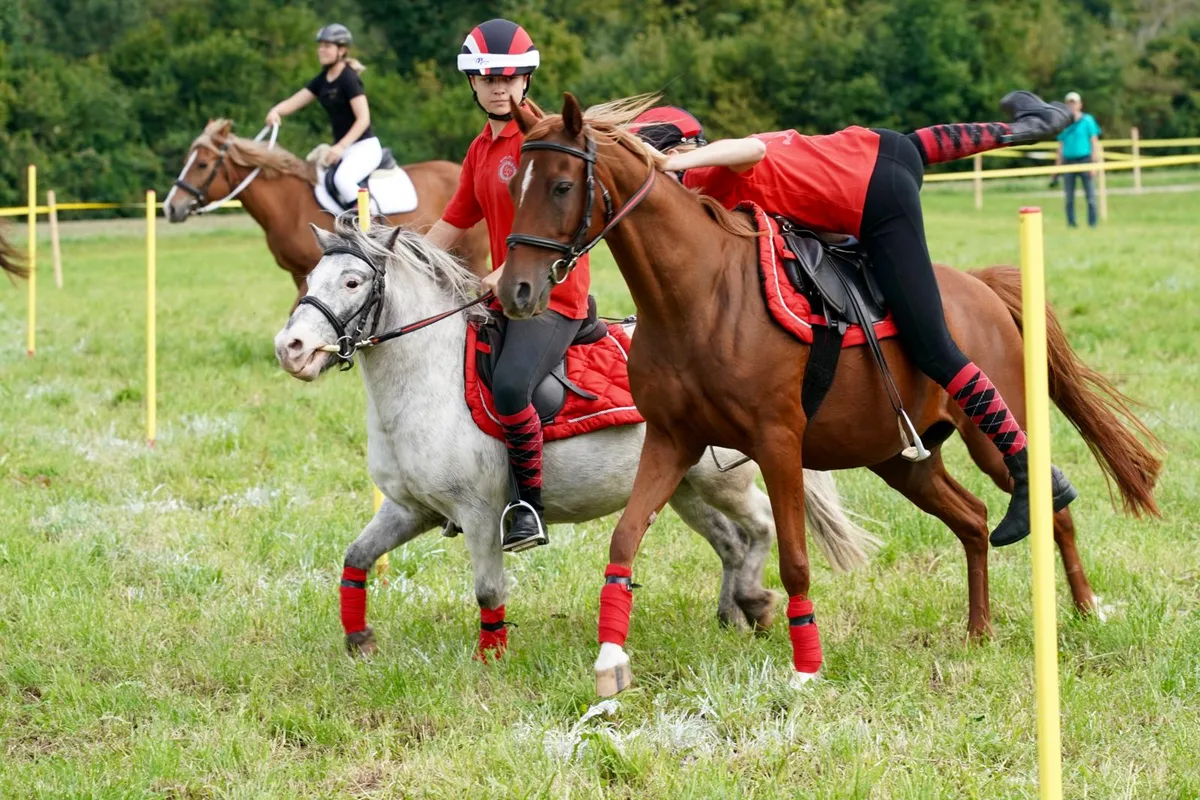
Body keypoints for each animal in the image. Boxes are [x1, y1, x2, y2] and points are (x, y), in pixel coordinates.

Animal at [273, 217, 877, 658]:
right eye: (310, 280)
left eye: (353, 282)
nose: (291, 348)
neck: (429, 376)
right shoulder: (408, 509)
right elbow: (356, 557)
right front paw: (359, 639)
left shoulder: (480, 515)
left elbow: (489, 590)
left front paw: (491, 660)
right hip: (682, 488)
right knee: (731, 541)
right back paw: (731, 614)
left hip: (722, 481)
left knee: (761, 527)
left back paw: (755, 603)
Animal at [497, 94, 1162, 695]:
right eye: (514, 191)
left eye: (561, 187)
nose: (517, 291)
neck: (699, 295)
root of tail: (980, 287)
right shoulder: (670, 441)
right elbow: (625, 538)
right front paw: (610, 660)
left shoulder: (778, 443)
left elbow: (794, 560)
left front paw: (807, 666)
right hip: (900, 458)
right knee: (973, 519)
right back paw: (980, 631)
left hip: (986, 432)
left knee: (1048, 497)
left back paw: (1084, 606)